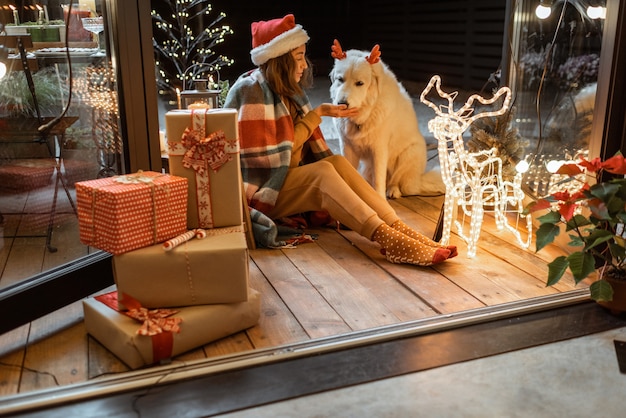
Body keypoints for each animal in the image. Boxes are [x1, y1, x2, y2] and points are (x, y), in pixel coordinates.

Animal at [326, 40, 444, 198]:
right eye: (340, 80)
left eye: (359, 83)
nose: (341, 104)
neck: (364, 115)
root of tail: (417, 181)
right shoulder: (347, 147)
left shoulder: (379, 149)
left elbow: (378, 180)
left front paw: (379, 198)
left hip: (410, 153)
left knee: (397, 183)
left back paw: (393, 190)